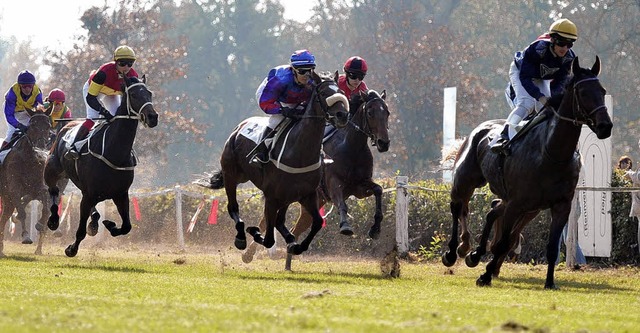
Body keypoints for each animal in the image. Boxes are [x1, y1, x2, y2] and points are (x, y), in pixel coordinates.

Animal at [0, 110, 52, 255]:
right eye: (32, 125)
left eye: (48, 126)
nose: (41, 147)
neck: (29, 159)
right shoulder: (14, 189)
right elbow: (22, 212)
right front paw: (26, 236)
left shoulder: (38, 188)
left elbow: (46, 207)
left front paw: (40, 224)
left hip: (8, 199)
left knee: (4, 217)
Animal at [43, 76, 158, 256]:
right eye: (133, 94)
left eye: (149, 93)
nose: (153, 117)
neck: (113, 152)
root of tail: (66, 126)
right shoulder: (89, 194)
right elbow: (80, 231)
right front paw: (71, 249)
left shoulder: (121, 194)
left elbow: (127, 226)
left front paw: (110, 225)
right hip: (52, 170)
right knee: (54, 191)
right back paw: (54, 220)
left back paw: (94, 222)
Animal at [196, 71, 350, 255]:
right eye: (324, 93)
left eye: (341, 91)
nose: (343, 115)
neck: (299, 152)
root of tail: (239, 128)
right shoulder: (271, 196)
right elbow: (269, 239)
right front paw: (254, 231)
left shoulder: (307, 194)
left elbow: (318, 222)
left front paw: (297, 245)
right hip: (231, 175)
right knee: (233, 207)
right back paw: (241, 236)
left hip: (279, 191)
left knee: (280, 220)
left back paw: (290, 239)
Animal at [240, 87, 390, 268]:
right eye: (370, 112)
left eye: (387, 112)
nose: (384, 143)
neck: (351, 147)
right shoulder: (334, 184)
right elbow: (342, 204)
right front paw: (345, 226)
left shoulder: (360, 186)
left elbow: (378, 190)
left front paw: (375, 229)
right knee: (266, 221)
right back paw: (248, 254)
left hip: (312, 203)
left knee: (295, 230)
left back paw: (289, 259)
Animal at [442, 55, 612, 288]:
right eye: (583, 92)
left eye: (602, 91)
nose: (605, 126)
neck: (551, 153)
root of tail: (479, 129)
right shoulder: (517, 203)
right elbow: (503, 242)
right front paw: (485, 275)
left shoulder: (560, 206)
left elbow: (550, 248)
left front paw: (549, 283)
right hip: (466, 179)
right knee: (459, 207)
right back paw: (457, 249)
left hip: (519, 201)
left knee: (491, 210)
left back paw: (474, 254)